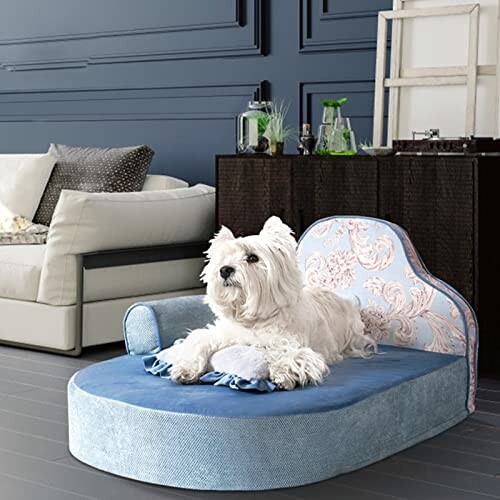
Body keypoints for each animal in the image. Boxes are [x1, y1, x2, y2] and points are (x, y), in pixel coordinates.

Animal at [168, 217, 376, 388]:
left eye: (252, 257)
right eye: (224, 259)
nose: (225, 270)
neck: (254, 320)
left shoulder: (292, 343)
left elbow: (292, 354)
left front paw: (283, 374)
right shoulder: (225, 333)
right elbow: (198, 339)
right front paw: (185, 369)